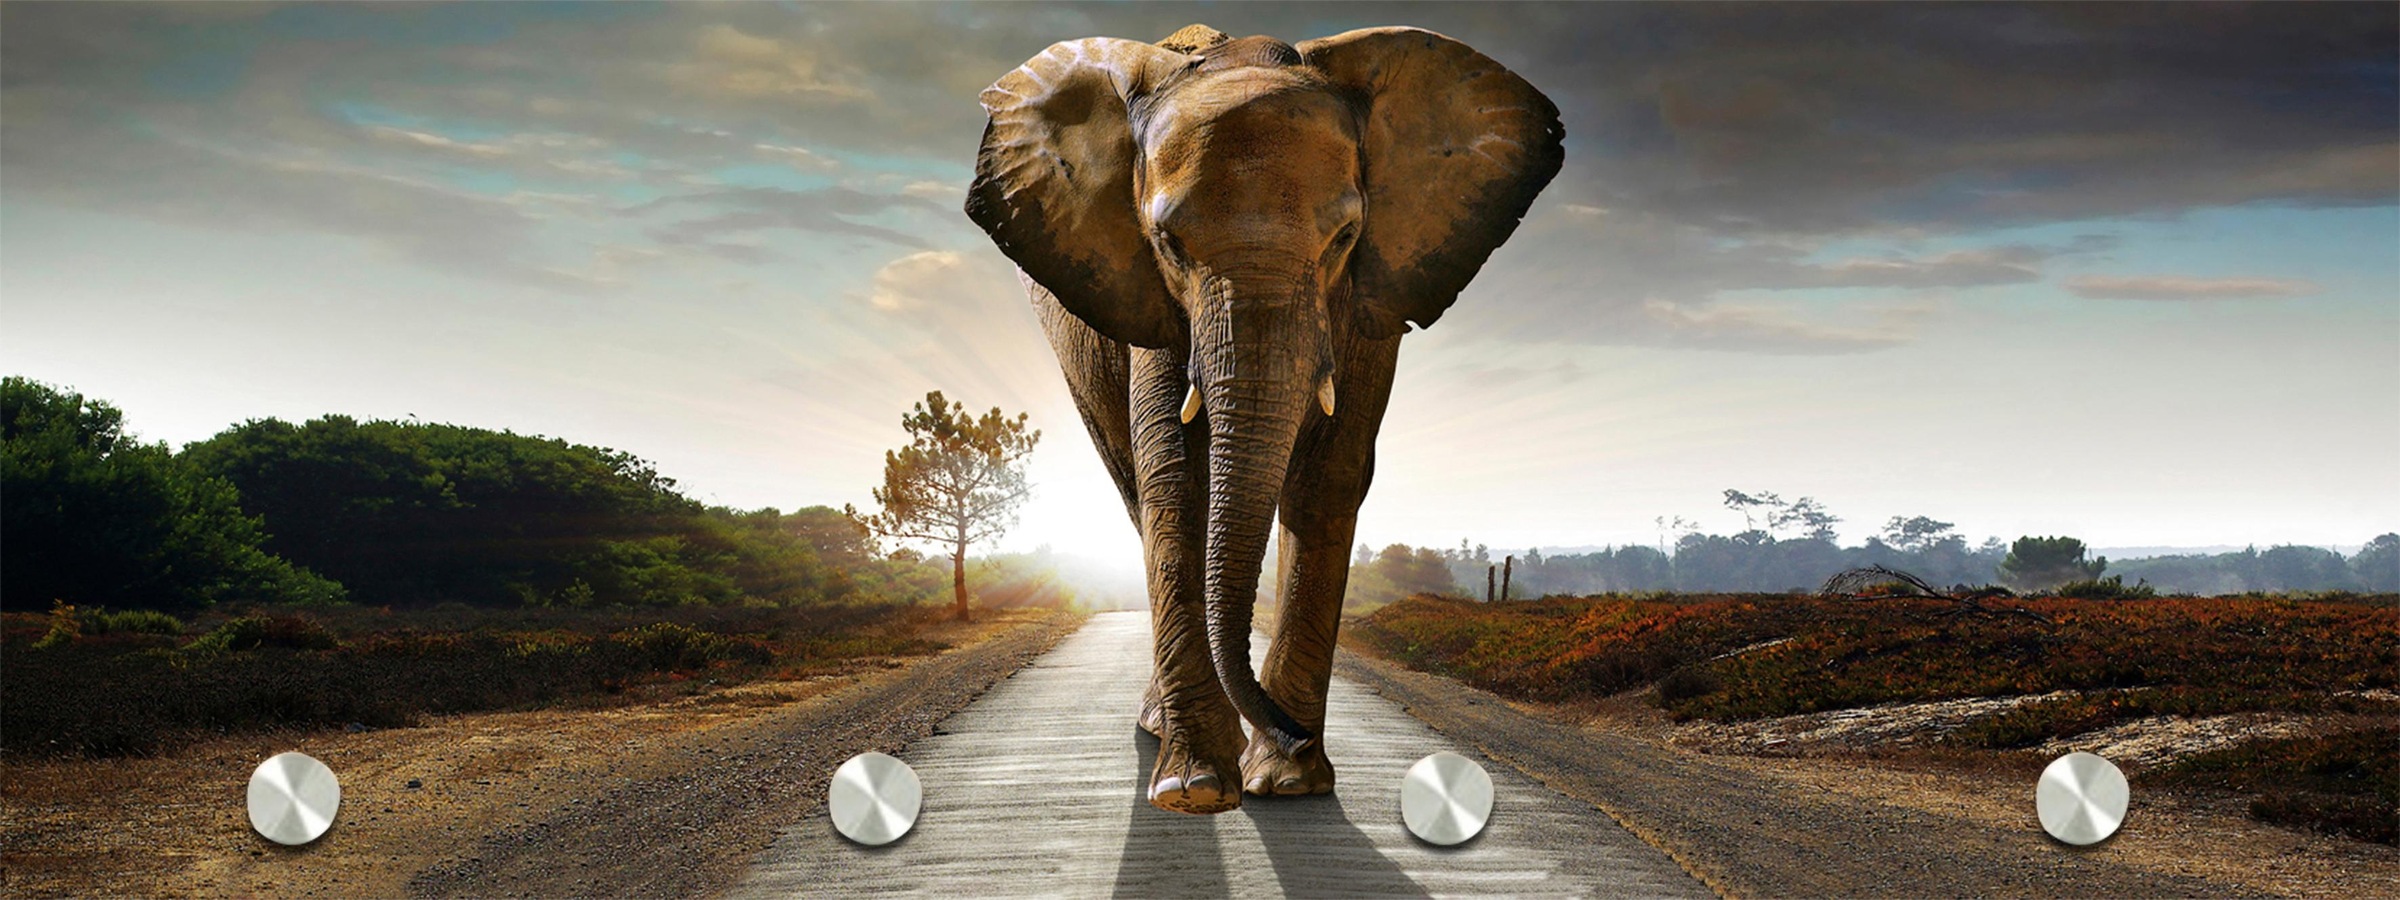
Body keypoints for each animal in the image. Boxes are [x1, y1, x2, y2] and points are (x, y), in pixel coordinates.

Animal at [965, 23, 1562, 814]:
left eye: (1345, 238)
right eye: (1168, 243)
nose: (1291, 732)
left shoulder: (1371, 298)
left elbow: (1329, 476)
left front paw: (1288, 782)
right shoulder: (1152, 301)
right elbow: (1176, 477)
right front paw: (1195, 790)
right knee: (1134, 489)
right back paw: (1163, 731)